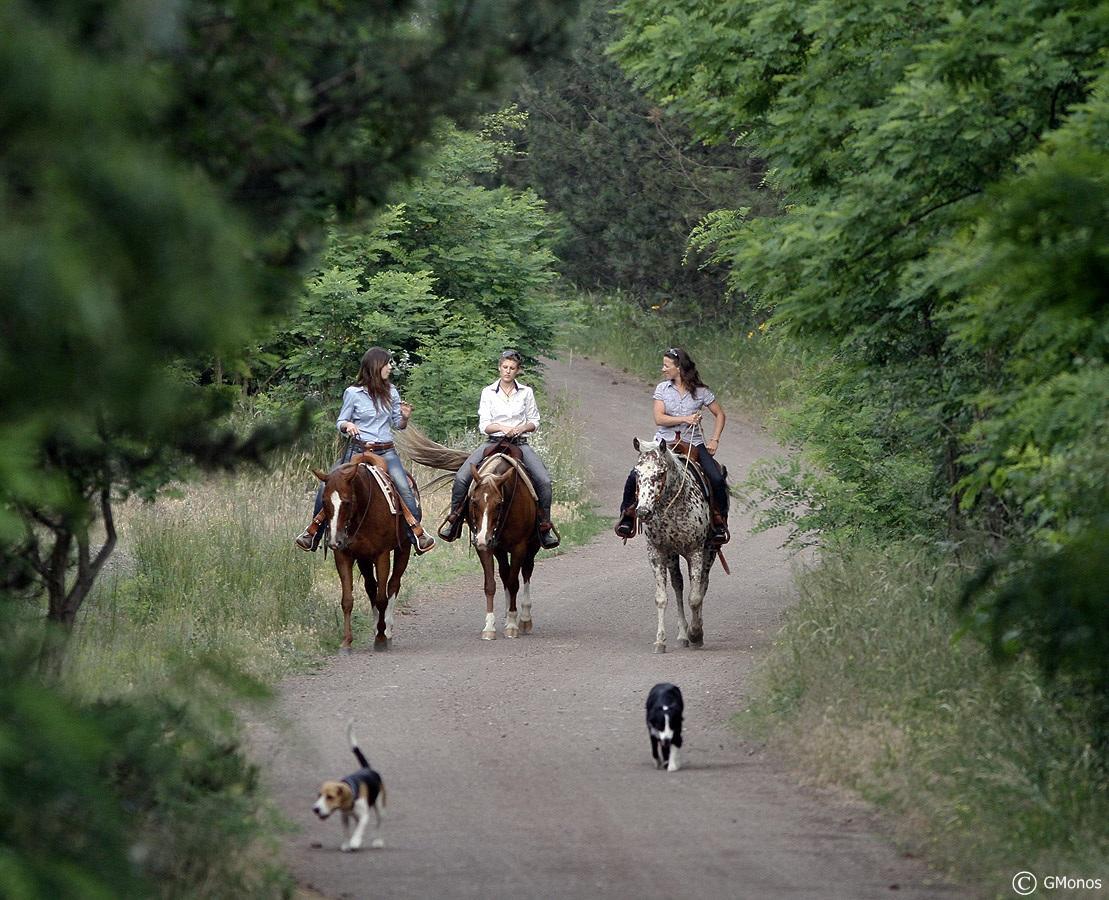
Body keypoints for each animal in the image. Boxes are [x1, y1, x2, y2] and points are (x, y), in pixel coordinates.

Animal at [312, 461, 412, 651]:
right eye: (324, 501)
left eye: (346, 502)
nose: (335, 540)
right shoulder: (343, 555)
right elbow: (347, 600)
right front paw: (346, 641)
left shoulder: (382, 554)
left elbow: (382, 598)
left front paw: (381, 638)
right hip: (364, 559)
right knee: (371, 587)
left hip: (404, 549)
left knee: (393, 584)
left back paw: (387, 630)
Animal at [314, 722, 388, 851]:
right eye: (319, 795)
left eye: (330, 797)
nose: (315, 809)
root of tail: (367, 768)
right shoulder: (344, 816)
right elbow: (346, 831)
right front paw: (346, 844)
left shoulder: (364, 816)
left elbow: (359, 829)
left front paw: (355, 842)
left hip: (379, 806)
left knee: (378, 824)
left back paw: (377, 841)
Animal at [629, 436, 714, 651]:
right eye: (637, 473)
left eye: (660, 473)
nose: (643, 512)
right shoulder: (657, 552)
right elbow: (661, 598)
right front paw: (660, 640)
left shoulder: (696, 551)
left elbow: (695, 597)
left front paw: (696, 633)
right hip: (673, 556)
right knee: (678, 585)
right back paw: (683, 634)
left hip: (710, 551)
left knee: (702, 585)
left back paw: (695, 629)